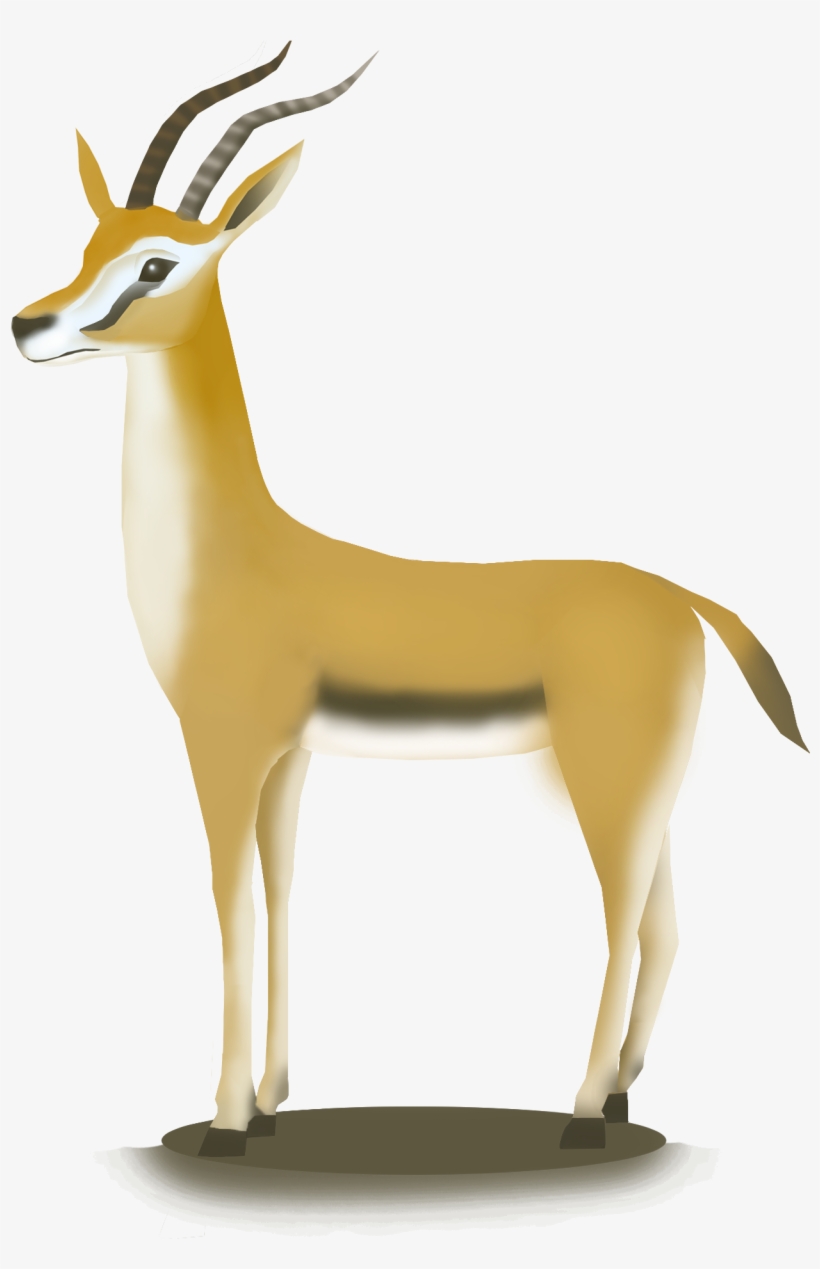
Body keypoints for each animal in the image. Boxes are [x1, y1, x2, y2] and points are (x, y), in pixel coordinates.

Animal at [11, 44, 806, 1159]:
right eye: (91, 244)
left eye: (158, 263)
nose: (27, 324)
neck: (236, 555)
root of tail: (681, 594)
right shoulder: (290, 756)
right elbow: (282, 895)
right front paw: (267, 1105)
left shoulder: (223, 743)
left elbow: (231, 904)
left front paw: (223, 1124)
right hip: (647, 776)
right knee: (663, 919)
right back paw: (616, 1098)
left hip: (603, 770)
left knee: (618, 912)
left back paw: (580, 1116)